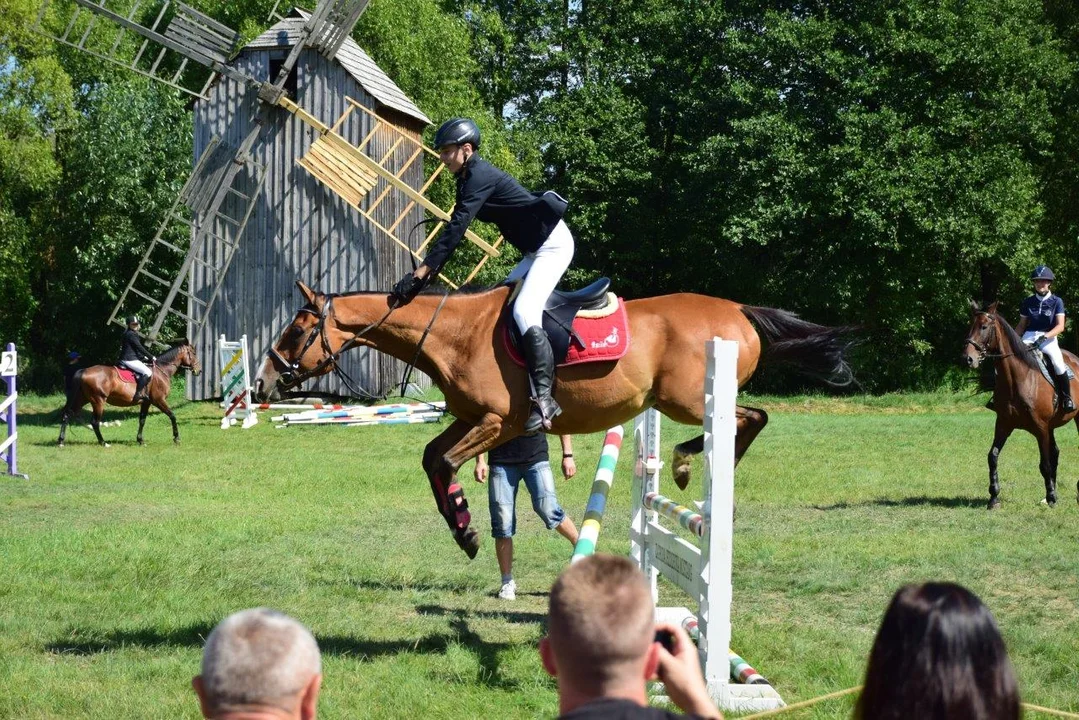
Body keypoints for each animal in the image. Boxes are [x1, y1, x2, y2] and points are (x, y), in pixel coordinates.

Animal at [57, 341, 200, 446]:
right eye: (193, 353)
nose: (199, 371)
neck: (161, 371)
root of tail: (83, 371)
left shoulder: (146, 402)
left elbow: (142, 420)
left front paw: (140, 440)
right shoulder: (159, 400)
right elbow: (172, 416)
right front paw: (176, 438)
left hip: (82, 399)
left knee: (67, 414)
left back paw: (61, 441)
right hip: (98, 401)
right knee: (94, 422)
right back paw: (103, 442)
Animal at [254, 280, 850, 557]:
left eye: (294, 331)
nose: (262, 383)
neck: (455, 334)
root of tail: (738, 310)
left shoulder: (502, 422)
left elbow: (443, 462)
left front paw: (466, 532)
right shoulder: (473, 418)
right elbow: (432, 459)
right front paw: (465, 526)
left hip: (683, 398)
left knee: (751, 416)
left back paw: (685, 465)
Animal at [966, 302, 1074, 509]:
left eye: (984, 327)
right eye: (970, 326)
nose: (968, 358)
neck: (1019, 378)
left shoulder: (1040, 428)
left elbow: (1044, 464)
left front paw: (1051, 498)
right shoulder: (1004, 424)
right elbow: (992, 456)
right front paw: (994, 497)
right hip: (1051, 427)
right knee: (1055, 453)